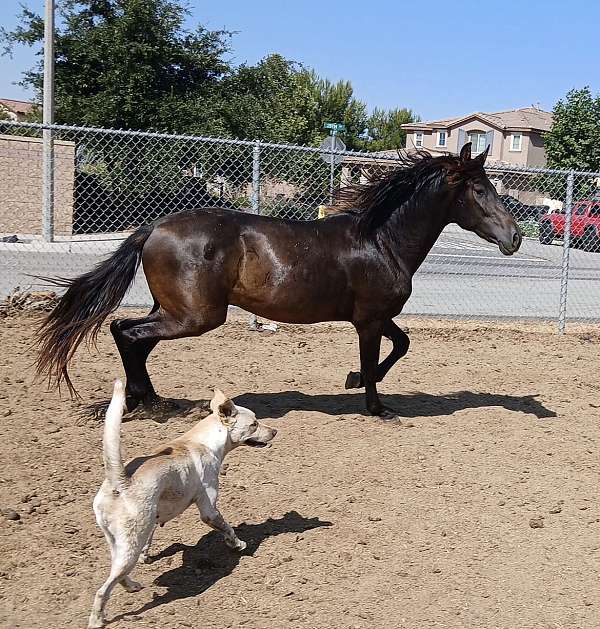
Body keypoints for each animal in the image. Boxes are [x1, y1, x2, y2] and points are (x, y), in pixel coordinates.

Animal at [36, 142, 520, 418]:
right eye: (480, 190)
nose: (514, 237)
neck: (382, 239)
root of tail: (153, 227)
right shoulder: (368, 320)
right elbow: (375, 360)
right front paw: (376, 406)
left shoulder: (380, 317)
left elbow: (401, 345)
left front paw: (352, 381)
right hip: (195, 316)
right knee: (125, 331)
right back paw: (149, 405)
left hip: (174, 311)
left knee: (132, 337)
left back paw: (149, 402)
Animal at [88, 380, 278, 624]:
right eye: (254, 424)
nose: (275, 431)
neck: (204, 442)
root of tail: (120, 481)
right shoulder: (209, 509)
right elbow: (227, 528)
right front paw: (238, 545)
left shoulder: (152, 518)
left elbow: (150, 541)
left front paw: (147, 556)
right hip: (128, 546)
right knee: (103, 590)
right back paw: (97, 620)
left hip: (119, 542)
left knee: (118, 575)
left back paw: (132, 585)